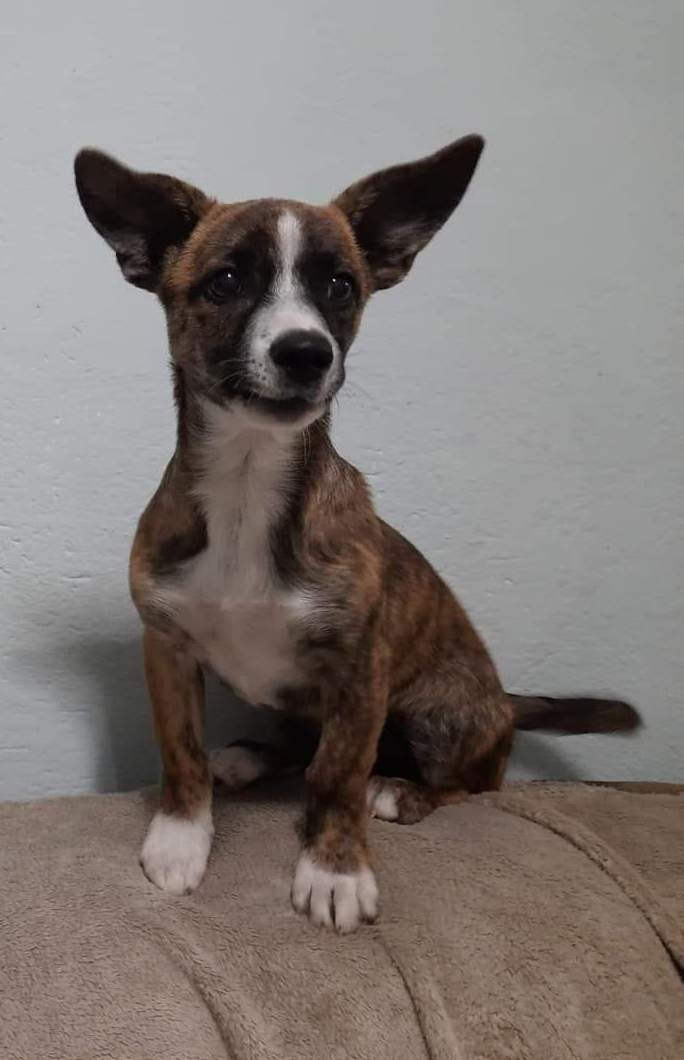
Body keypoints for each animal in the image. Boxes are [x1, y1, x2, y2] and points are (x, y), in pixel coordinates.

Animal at [74, 135, 640, 933]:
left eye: (341, 286)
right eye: (225, 281)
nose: (306, 352)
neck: (248, 485)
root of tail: (505, 700)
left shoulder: (360, 669)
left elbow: (338, 774)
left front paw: (334, 870)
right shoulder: (169, 648)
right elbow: (181, 755)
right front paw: (182, 838)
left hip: (438, 713)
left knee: (470, 785)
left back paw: (398, 791)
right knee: (298, 746)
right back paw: (247, 757)